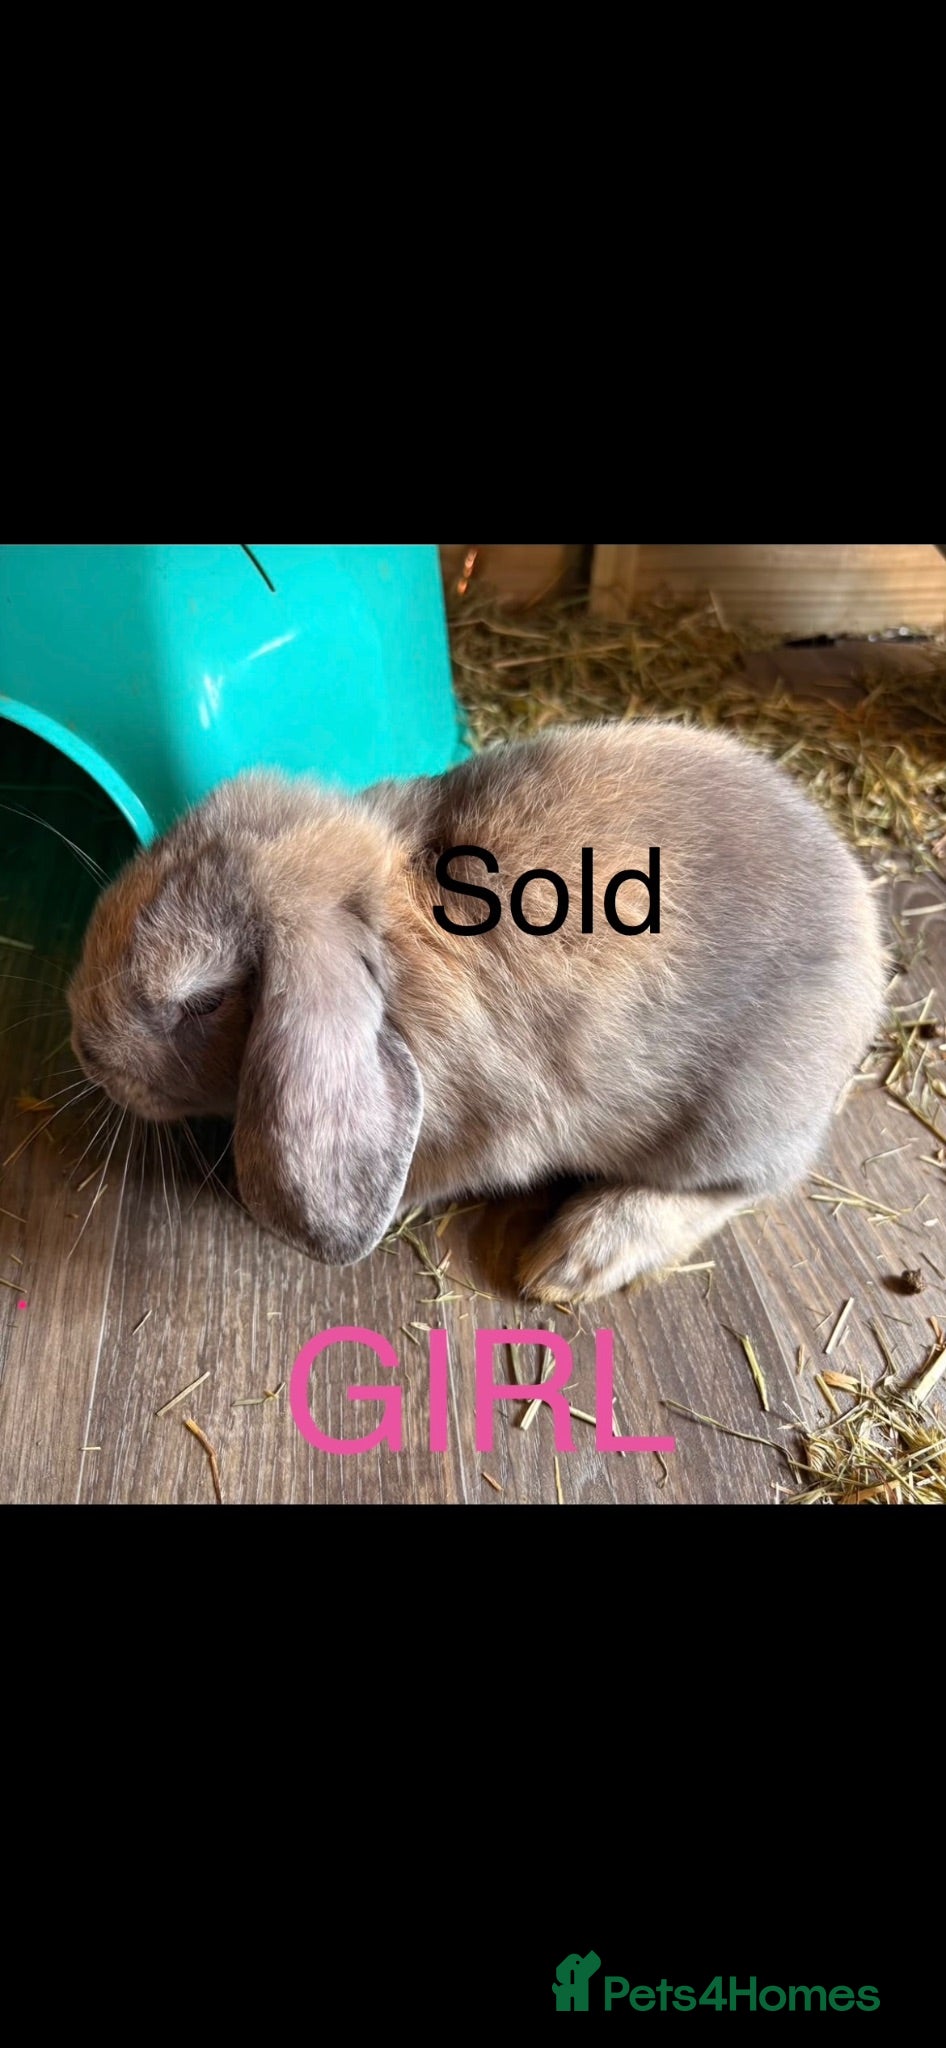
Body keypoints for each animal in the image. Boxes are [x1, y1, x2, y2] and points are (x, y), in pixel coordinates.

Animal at [67, 721, 887, 1301]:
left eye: (201, 999)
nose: (82, 1045)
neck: (389, 937)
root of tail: (866, 944)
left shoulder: (487, 1135)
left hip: (734, 1121)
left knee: (739, 1190)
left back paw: (573, 1261)